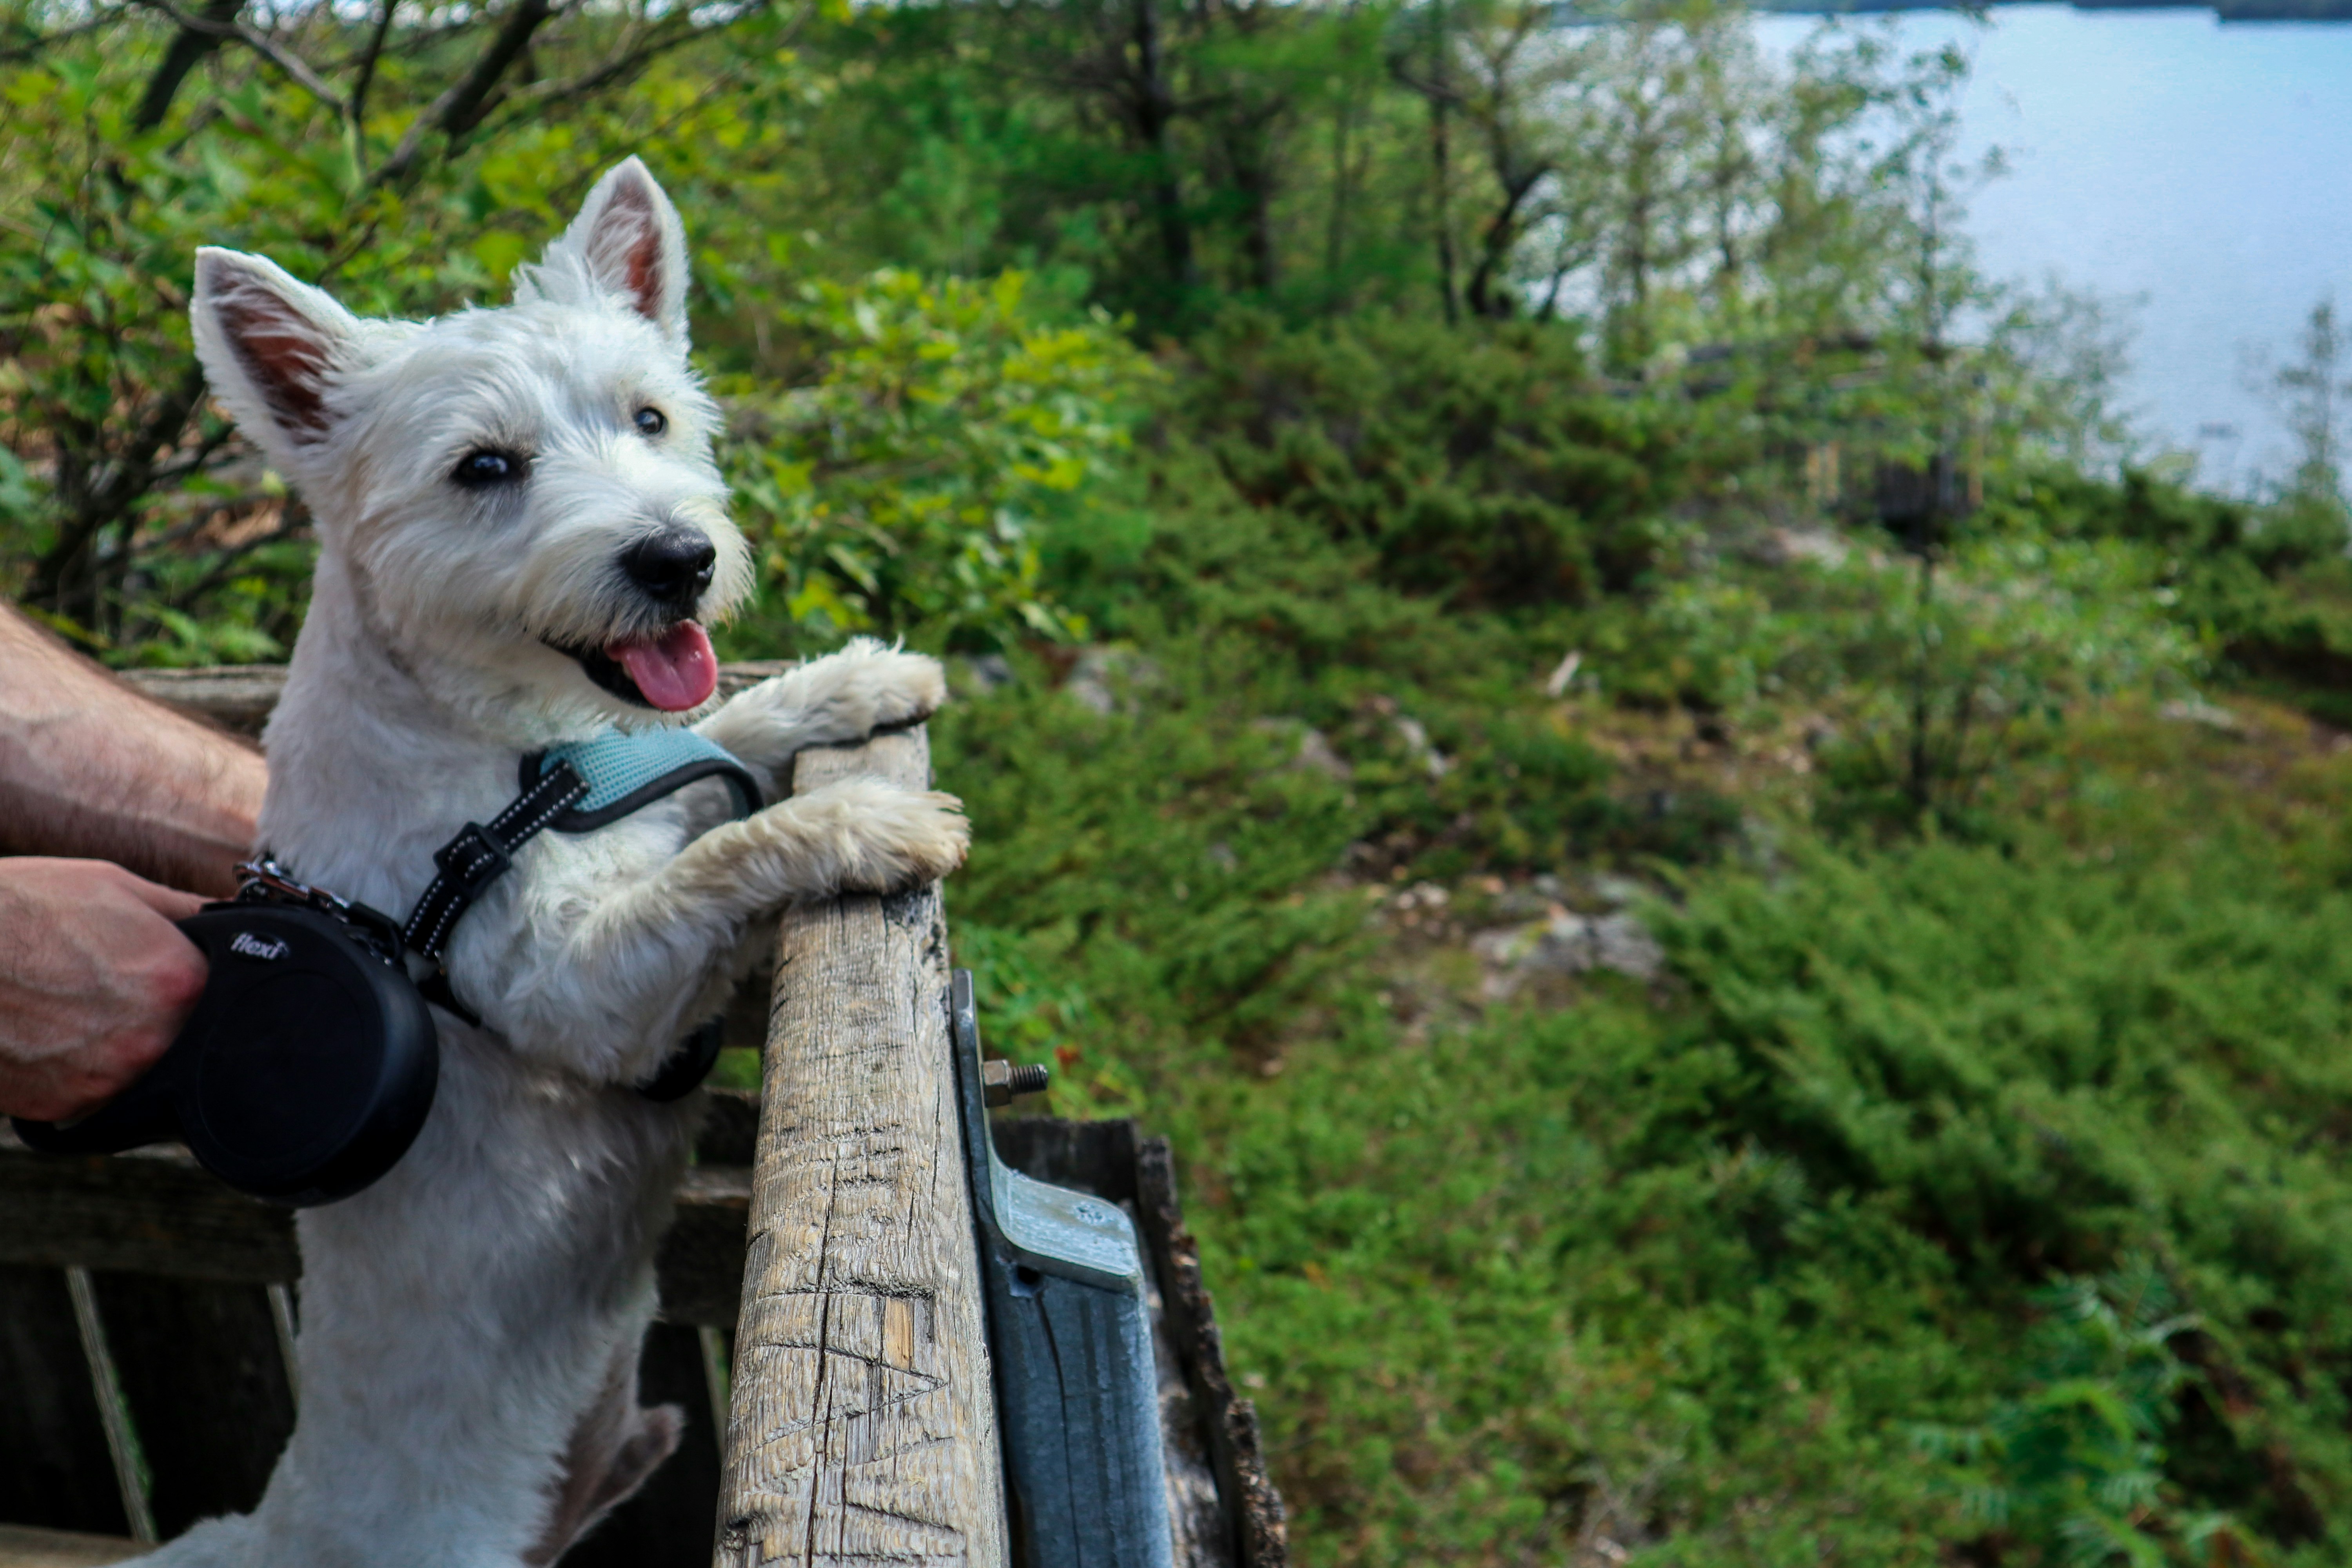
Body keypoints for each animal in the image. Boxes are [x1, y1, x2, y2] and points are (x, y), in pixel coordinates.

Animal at [156, 160, 969, 1568]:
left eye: (650, 416)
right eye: (484, 467)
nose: (679, 560)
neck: (511, 752)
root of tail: (275, 1527)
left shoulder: (641, 781)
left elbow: (725, 734)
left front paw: (855, 682)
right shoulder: (579, 991)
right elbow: (729, 853)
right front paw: (864, 825)